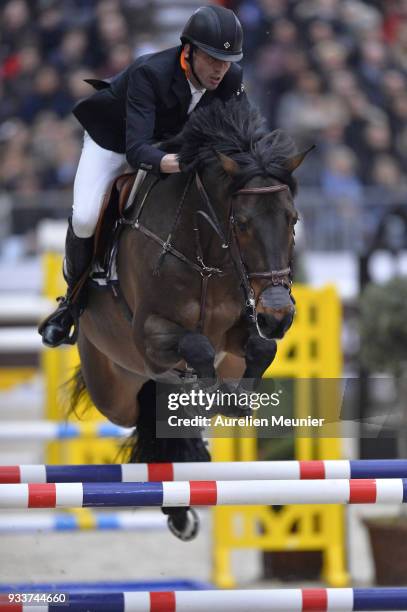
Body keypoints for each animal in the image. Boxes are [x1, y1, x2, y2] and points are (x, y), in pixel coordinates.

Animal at [71, 99, 312, 540]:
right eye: (241, 223)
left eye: (293, 219)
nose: (277, 314)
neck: (206, 256)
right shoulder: (149, 337)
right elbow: (196, 345)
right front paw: (211, 389)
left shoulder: (239, 331)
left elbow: (260, 347)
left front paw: (236, 401)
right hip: (113, 389)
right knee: (139, 414)